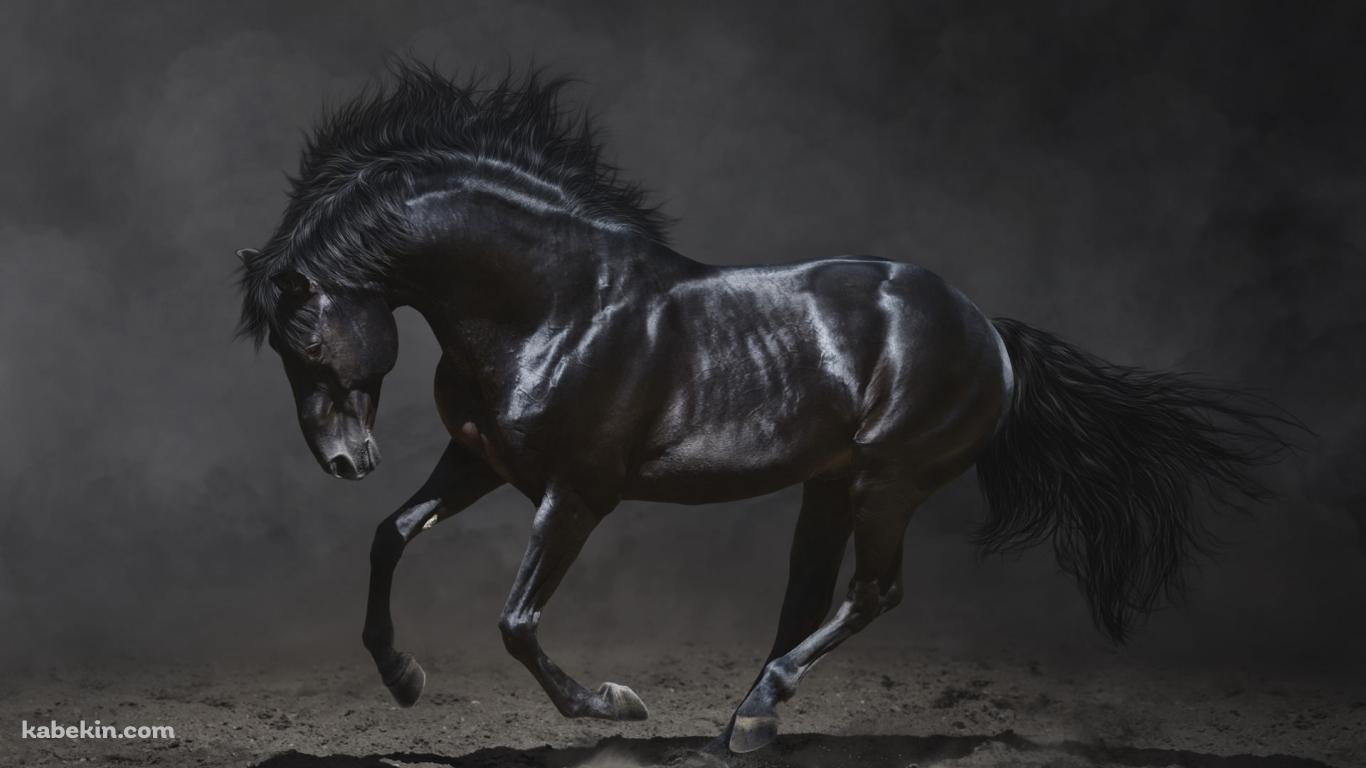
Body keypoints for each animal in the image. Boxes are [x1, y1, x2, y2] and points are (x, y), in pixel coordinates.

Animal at [236, 63, 1295, 755]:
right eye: (282, 352)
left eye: (307, 340)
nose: (344, 460)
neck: (556, 305)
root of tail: (988, 328)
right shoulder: (481, 462)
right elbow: (390, 536)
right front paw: (402, 678)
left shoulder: (576, 493)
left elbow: (517, 621)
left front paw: (615, 706)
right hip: (830, 485)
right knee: (808, 597)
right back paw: (747, 719)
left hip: (888, 481)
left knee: (872, 593)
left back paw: (754, 713)